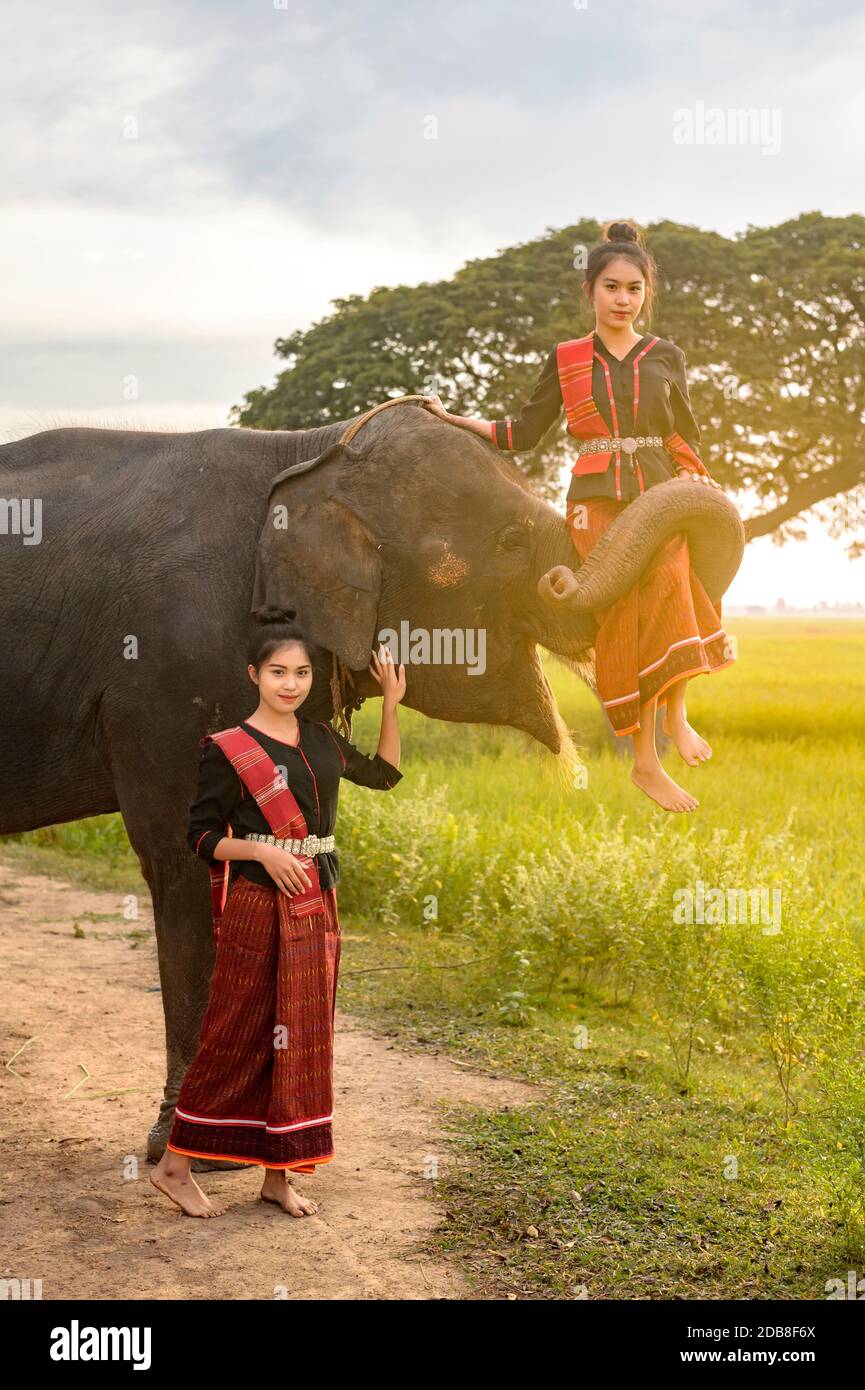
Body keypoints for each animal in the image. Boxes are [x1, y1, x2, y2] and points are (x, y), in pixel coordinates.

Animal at [0, 403, 745, 1162]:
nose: (561, 582)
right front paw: (193, 1151)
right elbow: (188, 856)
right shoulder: (161, 676)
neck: (310, 454)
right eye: (509, 541)